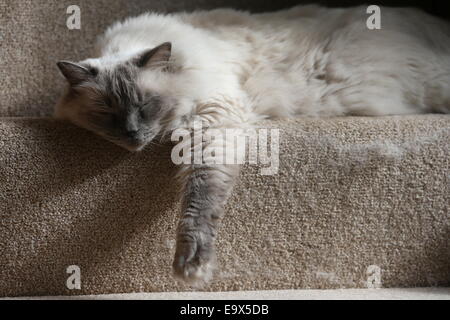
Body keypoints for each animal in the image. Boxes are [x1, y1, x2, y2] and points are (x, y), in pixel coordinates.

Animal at [53, 5, 450, 284]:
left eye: (145, 105)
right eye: (108, 113)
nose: (133, 134)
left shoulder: (216, 120)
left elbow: (200, 198)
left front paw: (192, 265)